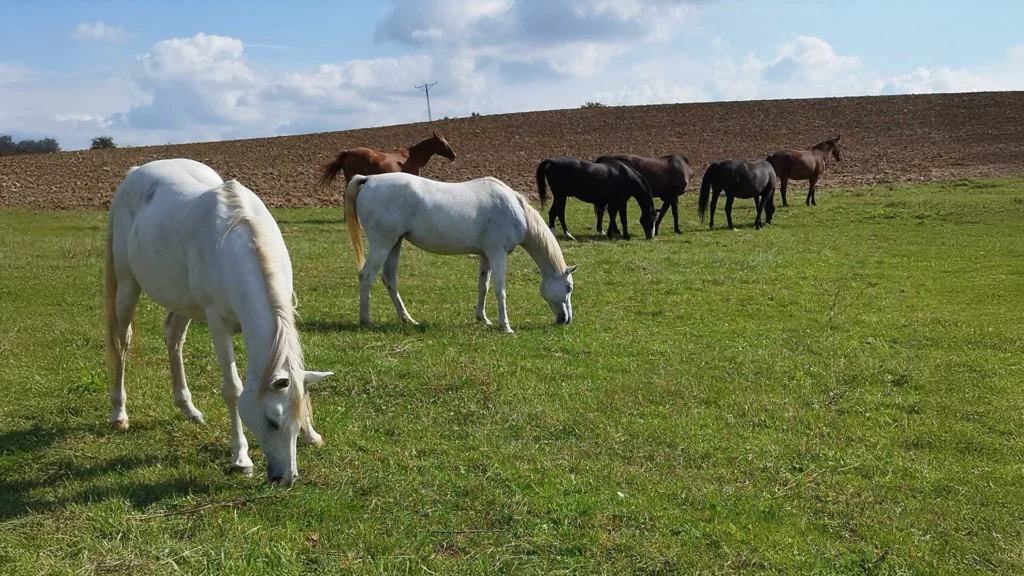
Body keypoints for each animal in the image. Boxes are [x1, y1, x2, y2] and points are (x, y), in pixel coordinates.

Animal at [105, 157, 333, 483]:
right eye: (272, 420)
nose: (285, 478)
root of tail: (135, 172)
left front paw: (311, 436)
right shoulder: (218, 325)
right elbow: (232, 389)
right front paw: (241, 458)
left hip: (183, 303)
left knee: (173, 337)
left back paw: (188, 409)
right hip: (127, 285)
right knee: (121, 341)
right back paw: (119, 414)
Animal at [346, 170, 581, 332]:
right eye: (568, 288)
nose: (567, 320)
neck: (516, 209)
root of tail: (369, 179)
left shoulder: (485, 255)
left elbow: (483, 286)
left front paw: (483, 318)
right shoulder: (498, 253)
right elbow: (500, 290)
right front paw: (505, 326)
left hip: (394, 244)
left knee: (389, 279)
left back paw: (408, 319)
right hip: (382, 245)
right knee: (366, 276)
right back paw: (366, 320)